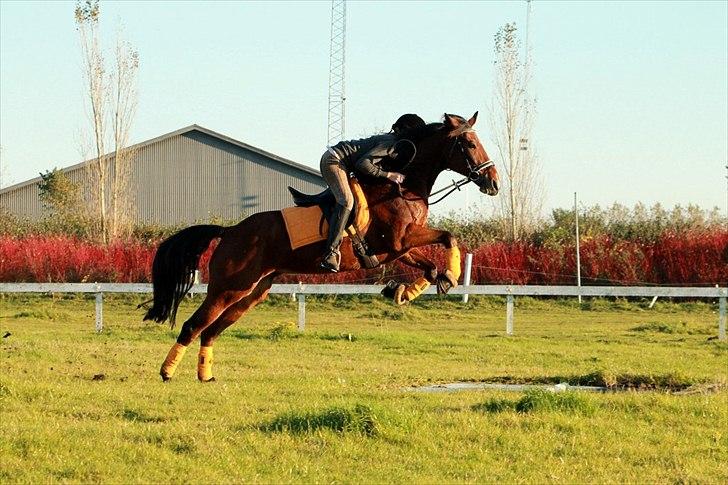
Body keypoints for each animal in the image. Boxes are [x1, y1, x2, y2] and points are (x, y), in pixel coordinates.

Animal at [146, 111, 500, 380]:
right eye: (470, 143)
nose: (493, 182)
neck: (402, 186)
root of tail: (231, 230)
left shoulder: (400, 247)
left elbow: (429, 264)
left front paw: (406, 291)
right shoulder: (400, 240)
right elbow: (448, 236)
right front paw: (448, 277)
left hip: (253, 291)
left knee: (210, 331)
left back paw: (204, 375)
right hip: (228, 286)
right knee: (193, 325)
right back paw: (167, 372)